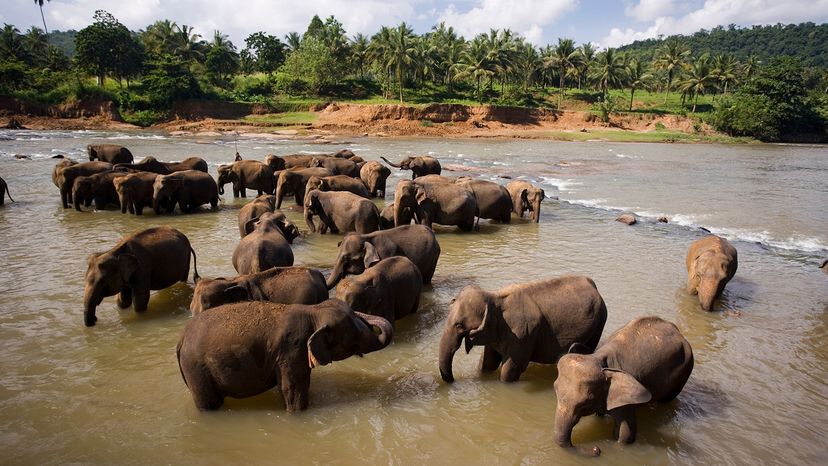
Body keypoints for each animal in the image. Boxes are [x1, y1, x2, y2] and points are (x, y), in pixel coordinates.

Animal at [176, 299, 393, 411]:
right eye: (354, 337)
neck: (313, 310)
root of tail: (181, 339)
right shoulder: (291, 350)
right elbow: (292, 391)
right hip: (197, 370)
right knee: (208, 403)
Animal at [438, 275, 607, 383]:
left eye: (459, 325)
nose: (453, 380)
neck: (494, 297)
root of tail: (595, 287)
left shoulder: (523, 335)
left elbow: (509, 370)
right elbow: (487, 363)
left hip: (599, 323)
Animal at [554, 316, 694, 447]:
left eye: (585, 403)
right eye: (555, 390)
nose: (596, 449)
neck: (598, 358)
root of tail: (677, 331)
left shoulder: (627, 398)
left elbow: (625, 434)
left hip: (685, 371)